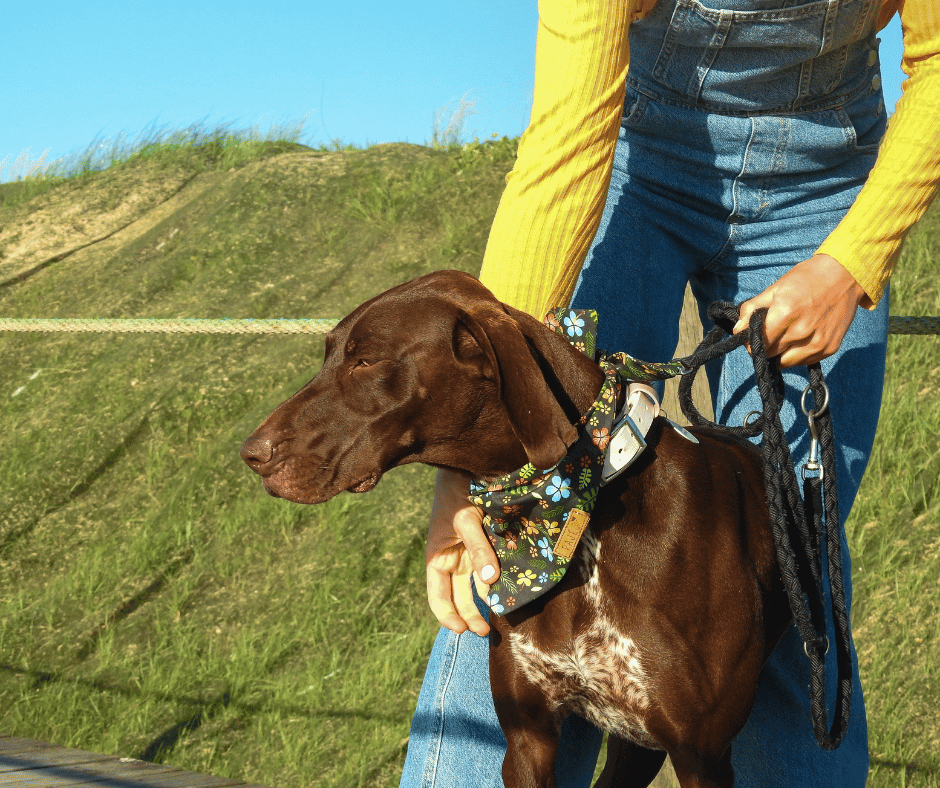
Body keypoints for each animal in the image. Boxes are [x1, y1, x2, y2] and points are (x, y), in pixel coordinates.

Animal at [242, 268, 792, 784]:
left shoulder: (701, 756)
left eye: (366, 362)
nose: (251, 454)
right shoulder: (529, 740)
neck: (574, 517)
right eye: (330, 356)